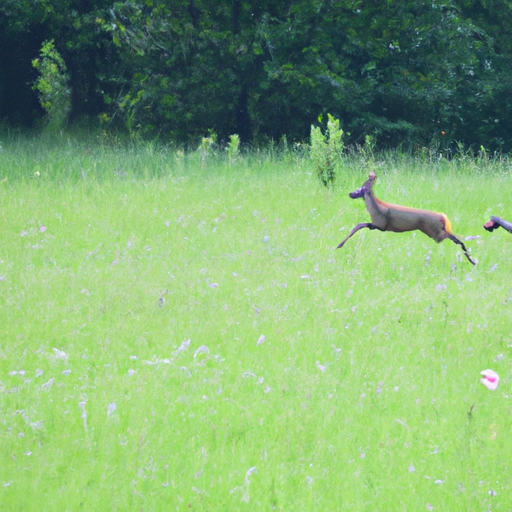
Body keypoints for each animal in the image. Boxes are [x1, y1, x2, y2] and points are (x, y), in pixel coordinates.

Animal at [336, 173, 476, 266]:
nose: (350, 194)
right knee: (455, 238)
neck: (375, 209)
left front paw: (339, 245)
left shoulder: (380, 225)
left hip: (434, 232)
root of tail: (443, 217)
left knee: (454, 238)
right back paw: (472, 259)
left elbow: (359, 224)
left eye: (360, 189)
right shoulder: (379, 226)